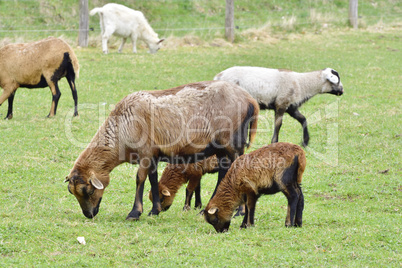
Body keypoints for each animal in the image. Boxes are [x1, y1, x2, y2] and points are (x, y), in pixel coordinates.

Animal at [215, 66, 344, 147]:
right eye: (337, 80)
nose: (342, 91)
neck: (302, 84)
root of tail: (218, 76)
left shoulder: (291, 107)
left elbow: (303, 119)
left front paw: (305, 142)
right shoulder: (281, 103)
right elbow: (278, 124)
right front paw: (274, 142)